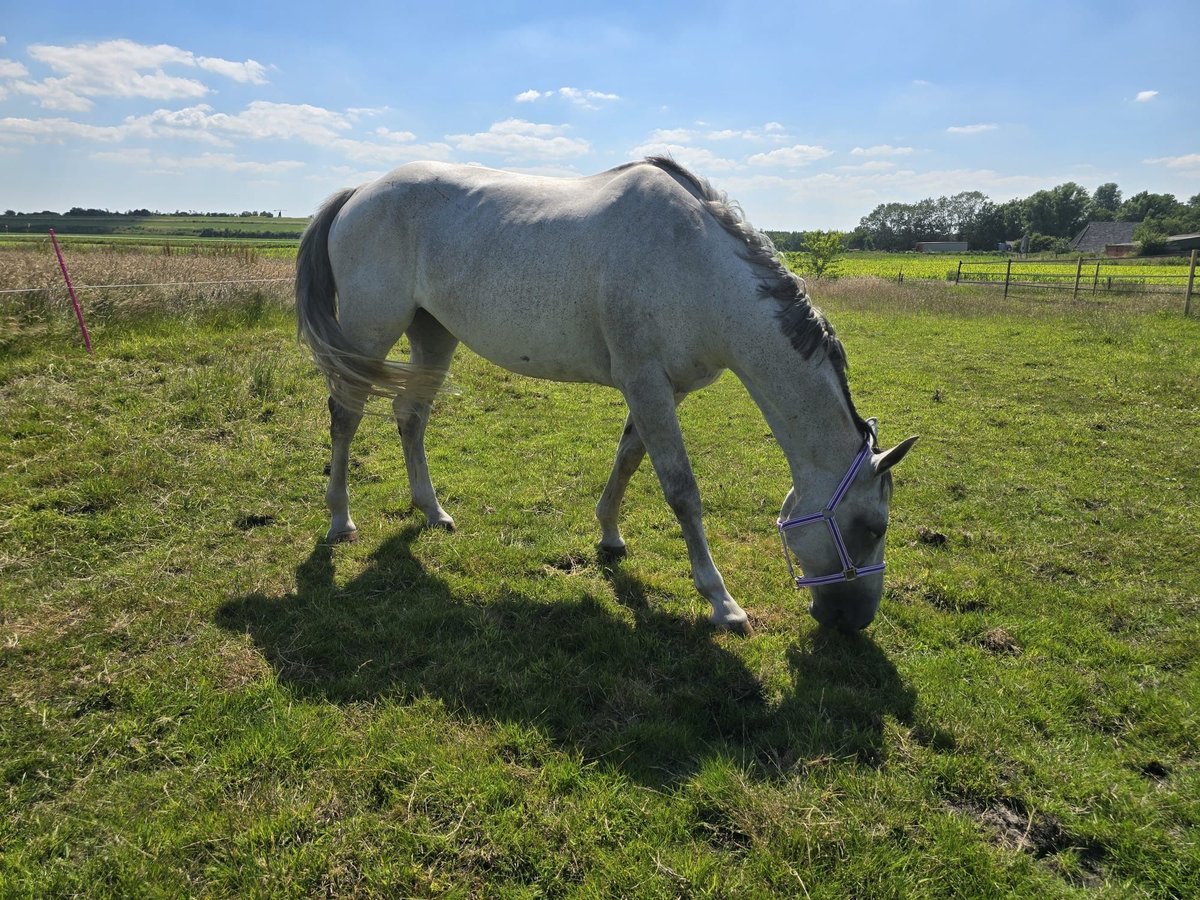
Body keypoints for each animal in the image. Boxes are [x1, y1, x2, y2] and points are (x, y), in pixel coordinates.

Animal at [295, 157, 912, 633]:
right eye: (873, 527)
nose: (855, 621)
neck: (696, 267)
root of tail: (361, 191)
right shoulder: (645, 383)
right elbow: (681, 490)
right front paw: (722, 602)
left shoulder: (662, 389)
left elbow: (629, 458)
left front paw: (610, 536)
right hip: (370, 331)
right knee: (346, 414)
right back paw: (340, 521)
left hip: (433, 333)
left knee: (410, 414)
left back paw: (432, 511)